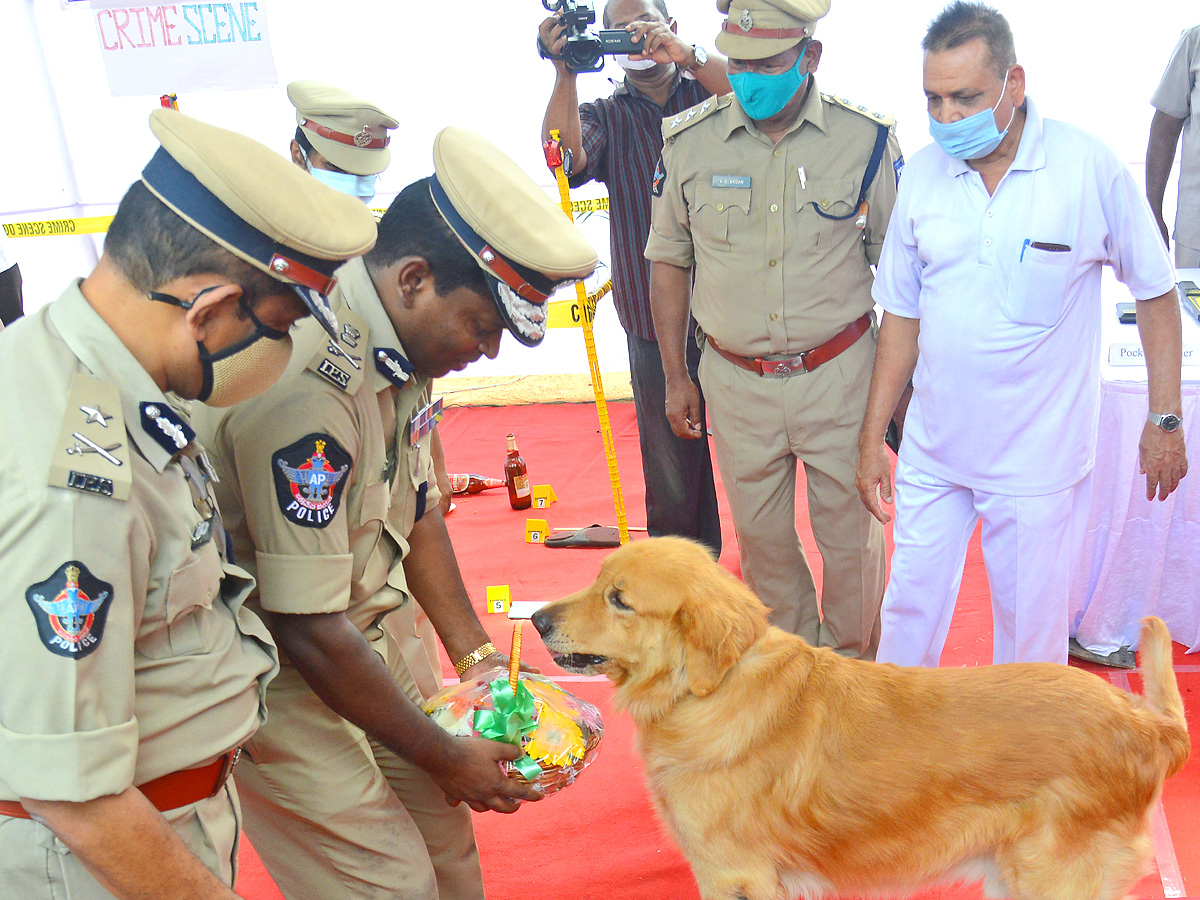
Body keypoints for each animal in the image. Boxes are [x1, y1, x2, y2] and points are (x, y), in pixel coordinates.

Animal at [537, 540, 1190, 897]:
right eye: (598, 579)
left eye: (620, 599)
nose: (538, 620)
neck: (711, 689)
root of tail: (1146, 725)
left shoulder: (735, 874)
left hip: (1050, 877)